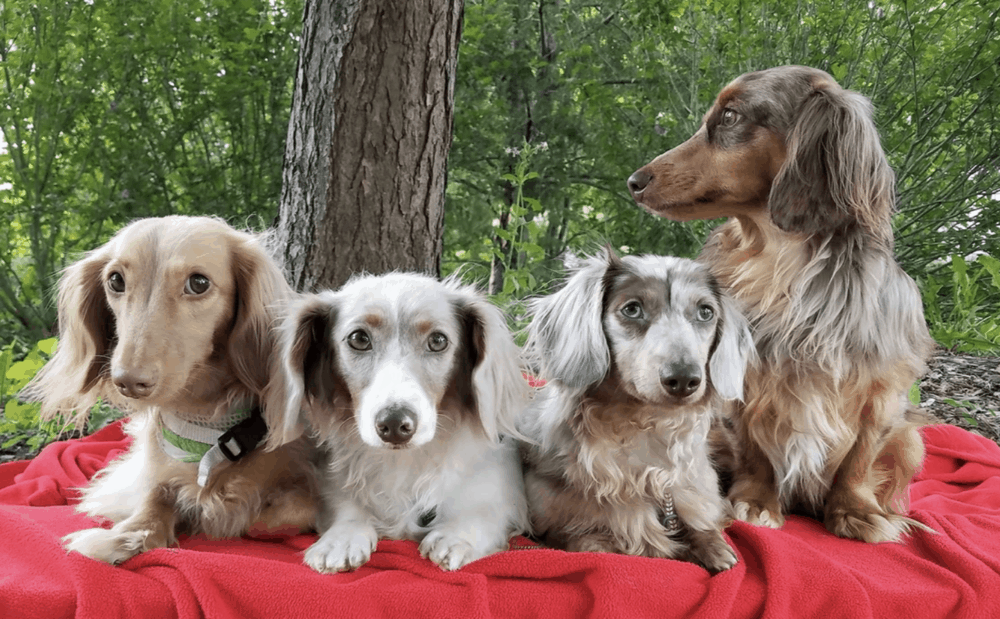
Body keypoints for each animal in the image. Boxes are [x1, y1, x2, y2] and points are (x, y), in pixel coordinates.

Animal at [21, 216, 316, 564]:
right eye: (116, 281)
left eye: (199, 283)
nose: (128, 382)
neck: (208, 429)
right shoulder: (151, 474)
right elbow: (154, 499)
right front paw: (123, 536)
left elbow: (286, 511)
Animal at [274, 274, 532, 572]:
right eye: (359, 338)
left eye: (438, 340)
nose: (395, 425)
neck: (405, 462)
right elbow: (347, 508)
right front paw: (341, 538)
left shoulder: (501, 492)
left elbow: (481, 514)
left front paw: (456, 536)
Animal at [520, 249, 752, 572]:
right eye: (632, 309)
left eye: (706, 312)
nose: (684, 380)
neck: (645, 428)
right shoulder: (552, 522)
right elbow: (587, 540)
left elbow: (702, 521)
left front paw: (714, 546)